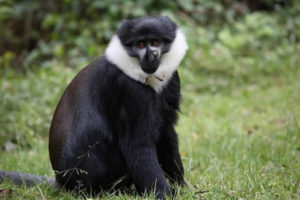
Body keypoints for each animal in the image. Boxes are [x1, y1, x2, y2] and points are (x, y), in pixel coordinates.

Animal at [0, 16, 188, 199]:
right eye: (140, 44)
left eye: (156, 42)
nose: (152, 55)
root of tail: (62, 182)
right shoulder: (131, 90)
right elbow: (137, 145)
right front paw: (165, 193)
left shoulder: (173, 78)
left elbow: (166, 133)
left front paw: (183, 186)